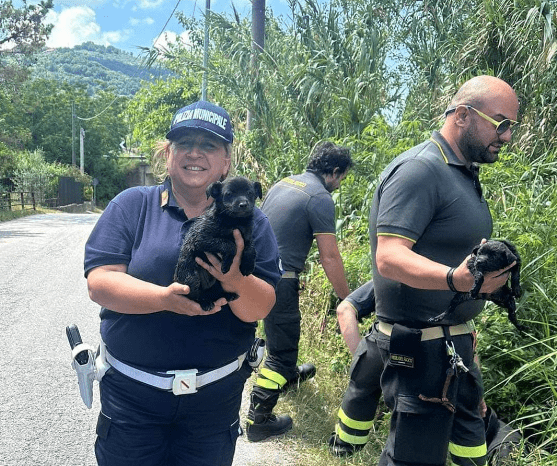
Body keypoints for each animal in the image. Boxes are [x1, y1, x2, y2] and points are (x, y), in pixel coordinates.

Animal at [176, 177, 262, 312]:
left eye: (250, 193)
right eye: (229, 194)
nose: (243, 204)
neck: (234, 221)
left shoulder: (246, 236)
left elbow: (251, 248)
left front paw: (248, 265)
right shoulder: (200, 239)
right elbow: (229, 245)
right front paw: (226, 264)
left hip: (217, 284)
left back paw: (227, 295)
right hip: (192, 278)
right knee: (194, 296)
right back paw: (204, 302)